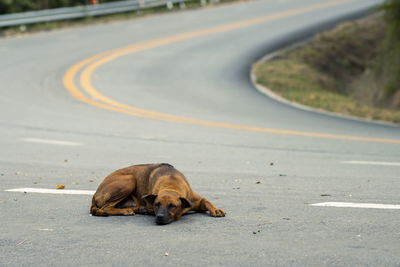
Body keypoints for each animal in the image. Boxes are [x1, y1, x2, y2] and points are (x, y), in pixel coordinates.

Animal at [91, 164, 227, 225]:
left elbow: (207, 201)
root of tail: (95, 194)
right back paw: (126, 211)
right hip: (130, 180)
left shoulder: (196, 200)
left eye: (172, 206)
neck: (171, 184)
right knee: (106, 207)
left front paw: (216, 209)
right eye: (157, 204)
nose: (160, 217)